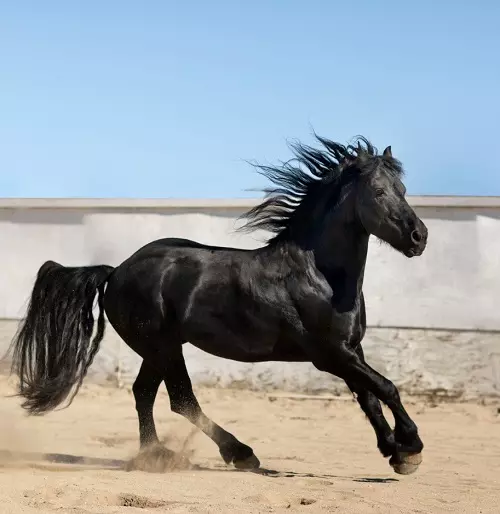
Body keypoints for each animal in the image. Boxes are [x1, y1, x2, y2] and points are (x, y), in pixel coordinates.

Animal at [9, 134, 428, 474]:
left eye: (404, 188)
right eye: (379, 191)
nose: (418, 237)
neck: (319, 275)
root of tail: (116, 272)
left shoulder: (351, 350)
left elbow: (369, 397)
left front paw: (394, 452)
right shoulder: (330, 354)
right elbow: (386, 387)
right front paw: (411, 446)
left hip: (158, 349)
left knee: (144, 393)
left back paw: (154, 455)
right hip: (162, 347)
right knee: (181, 400)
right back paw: (239, 453)